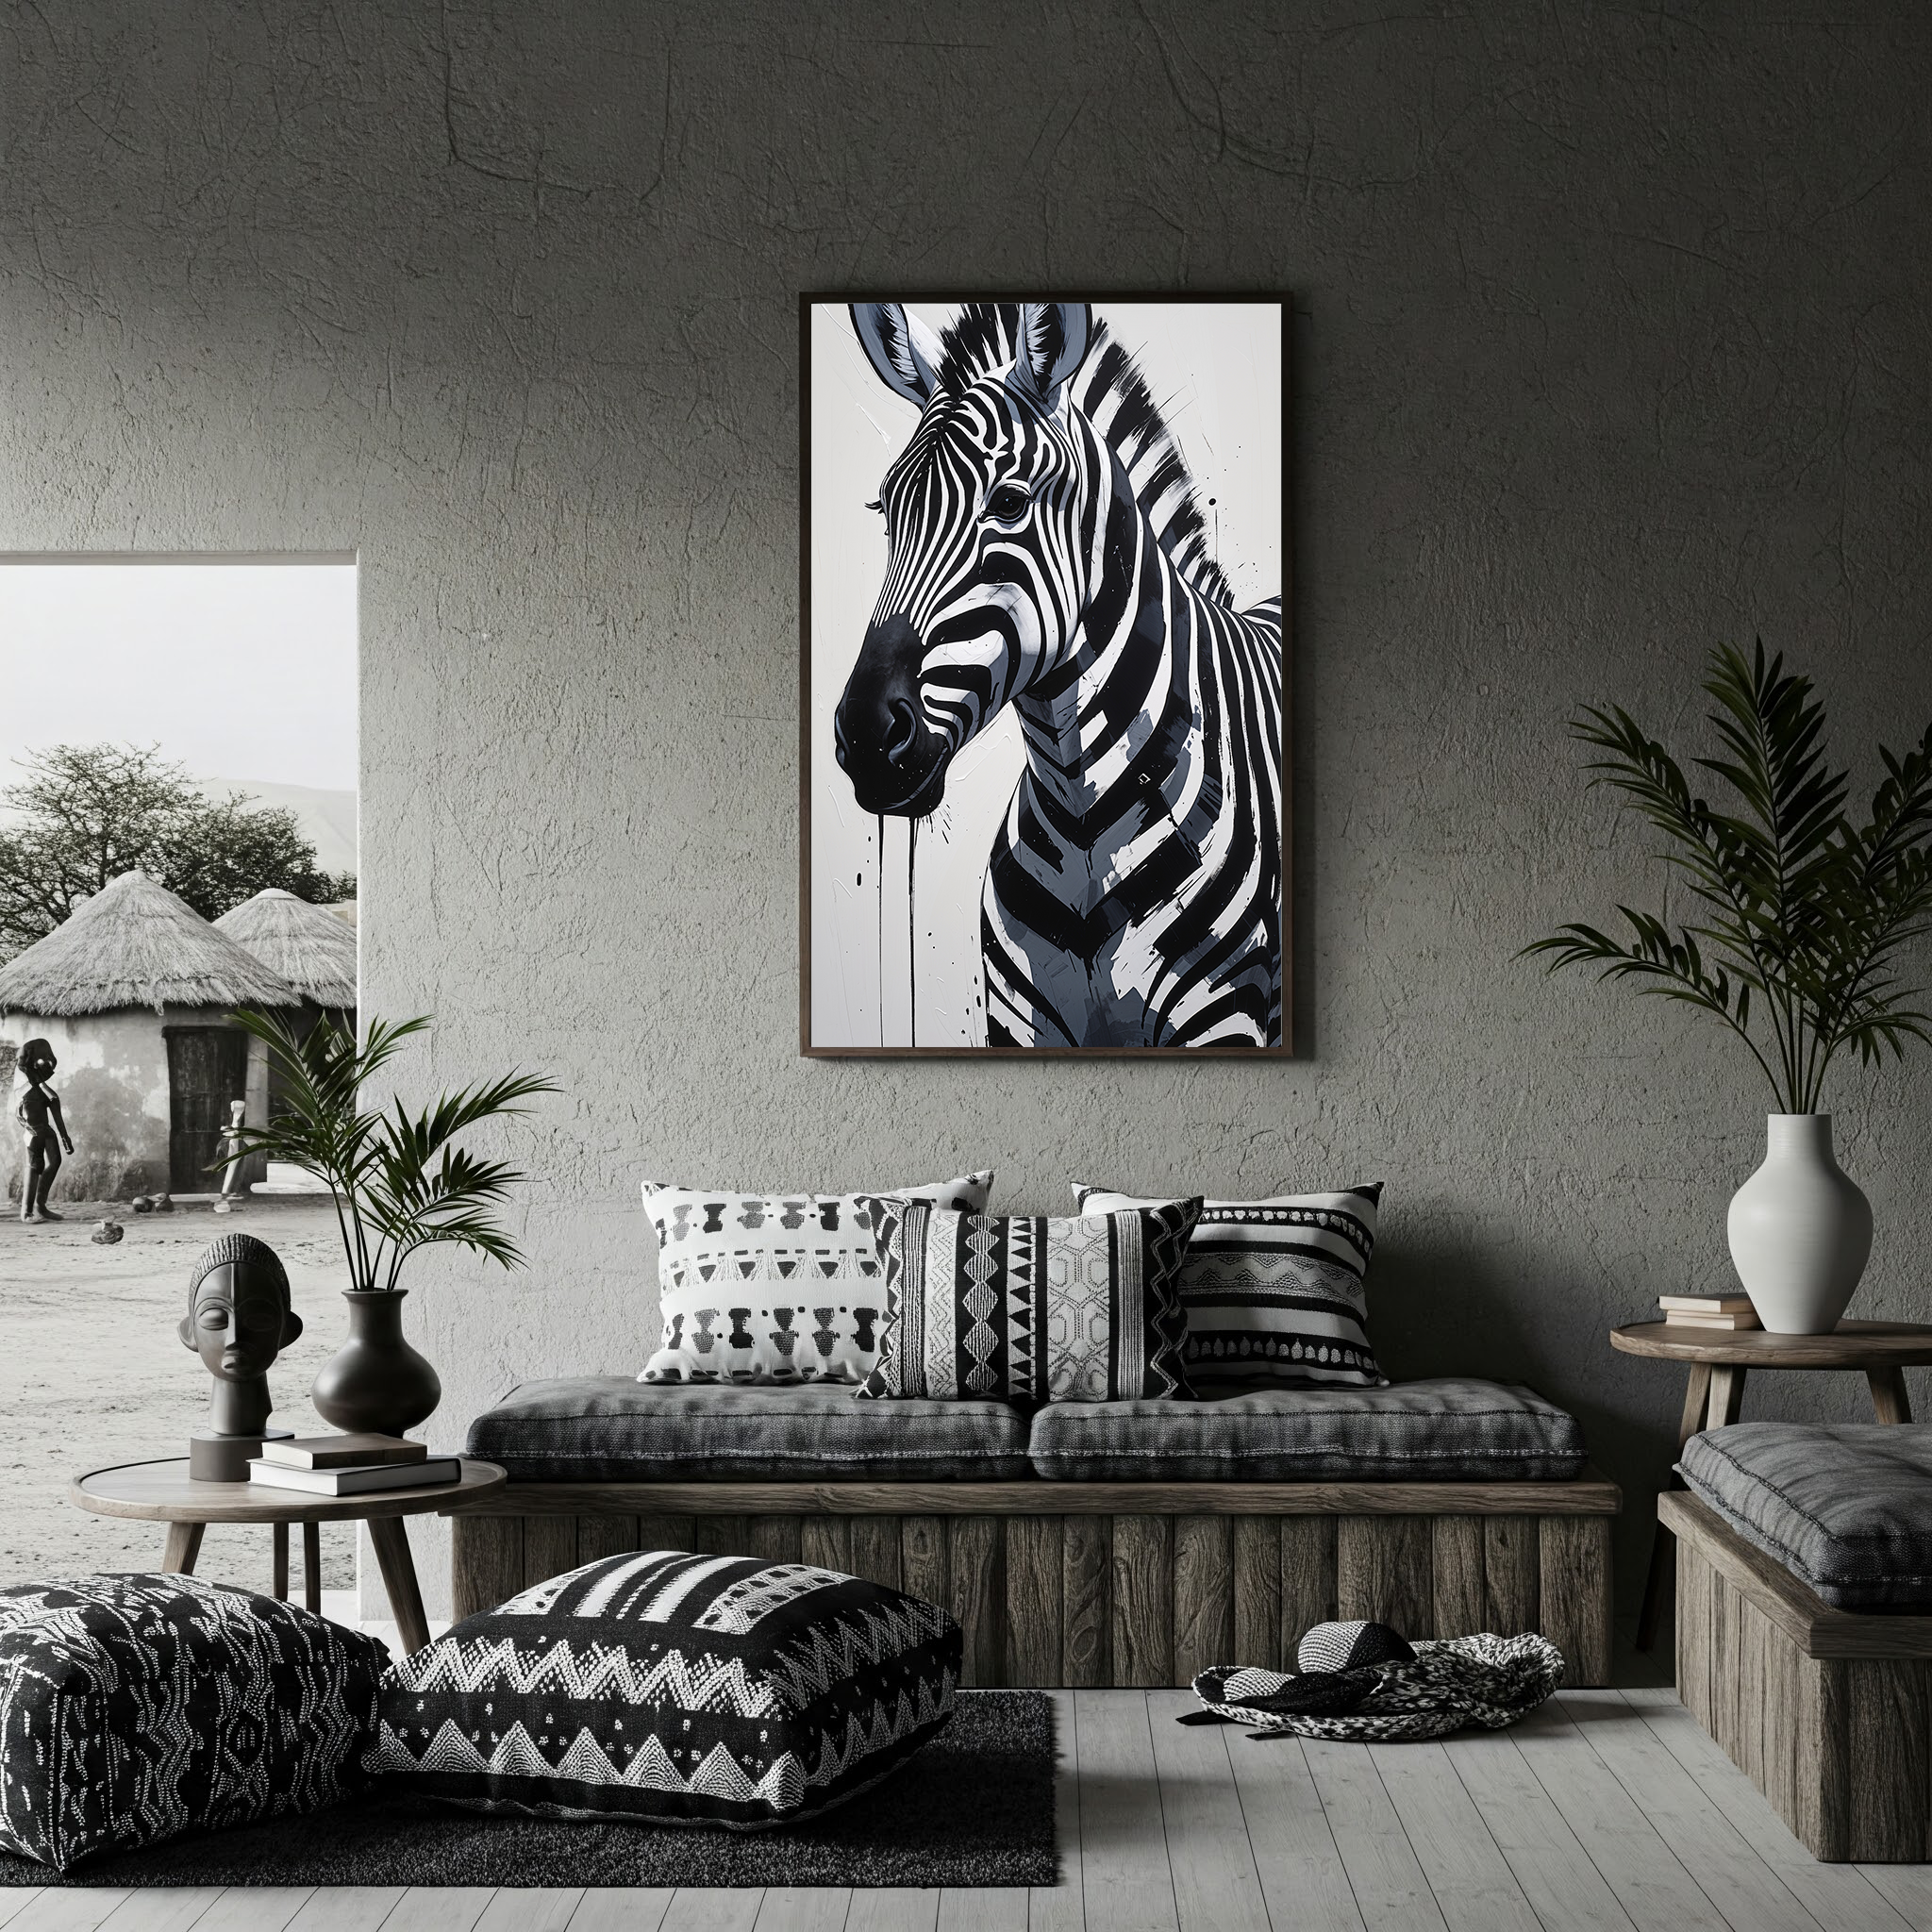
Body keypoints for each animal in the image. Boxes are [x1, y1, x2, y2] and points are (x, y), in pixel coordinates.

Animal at [832, 300, 1283, 1049]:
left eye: (1010, 503)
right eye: (886, 509)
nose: (867, 734)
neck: (1082, 814)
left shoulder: (1228, 1013)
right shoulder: (1021, 1021)